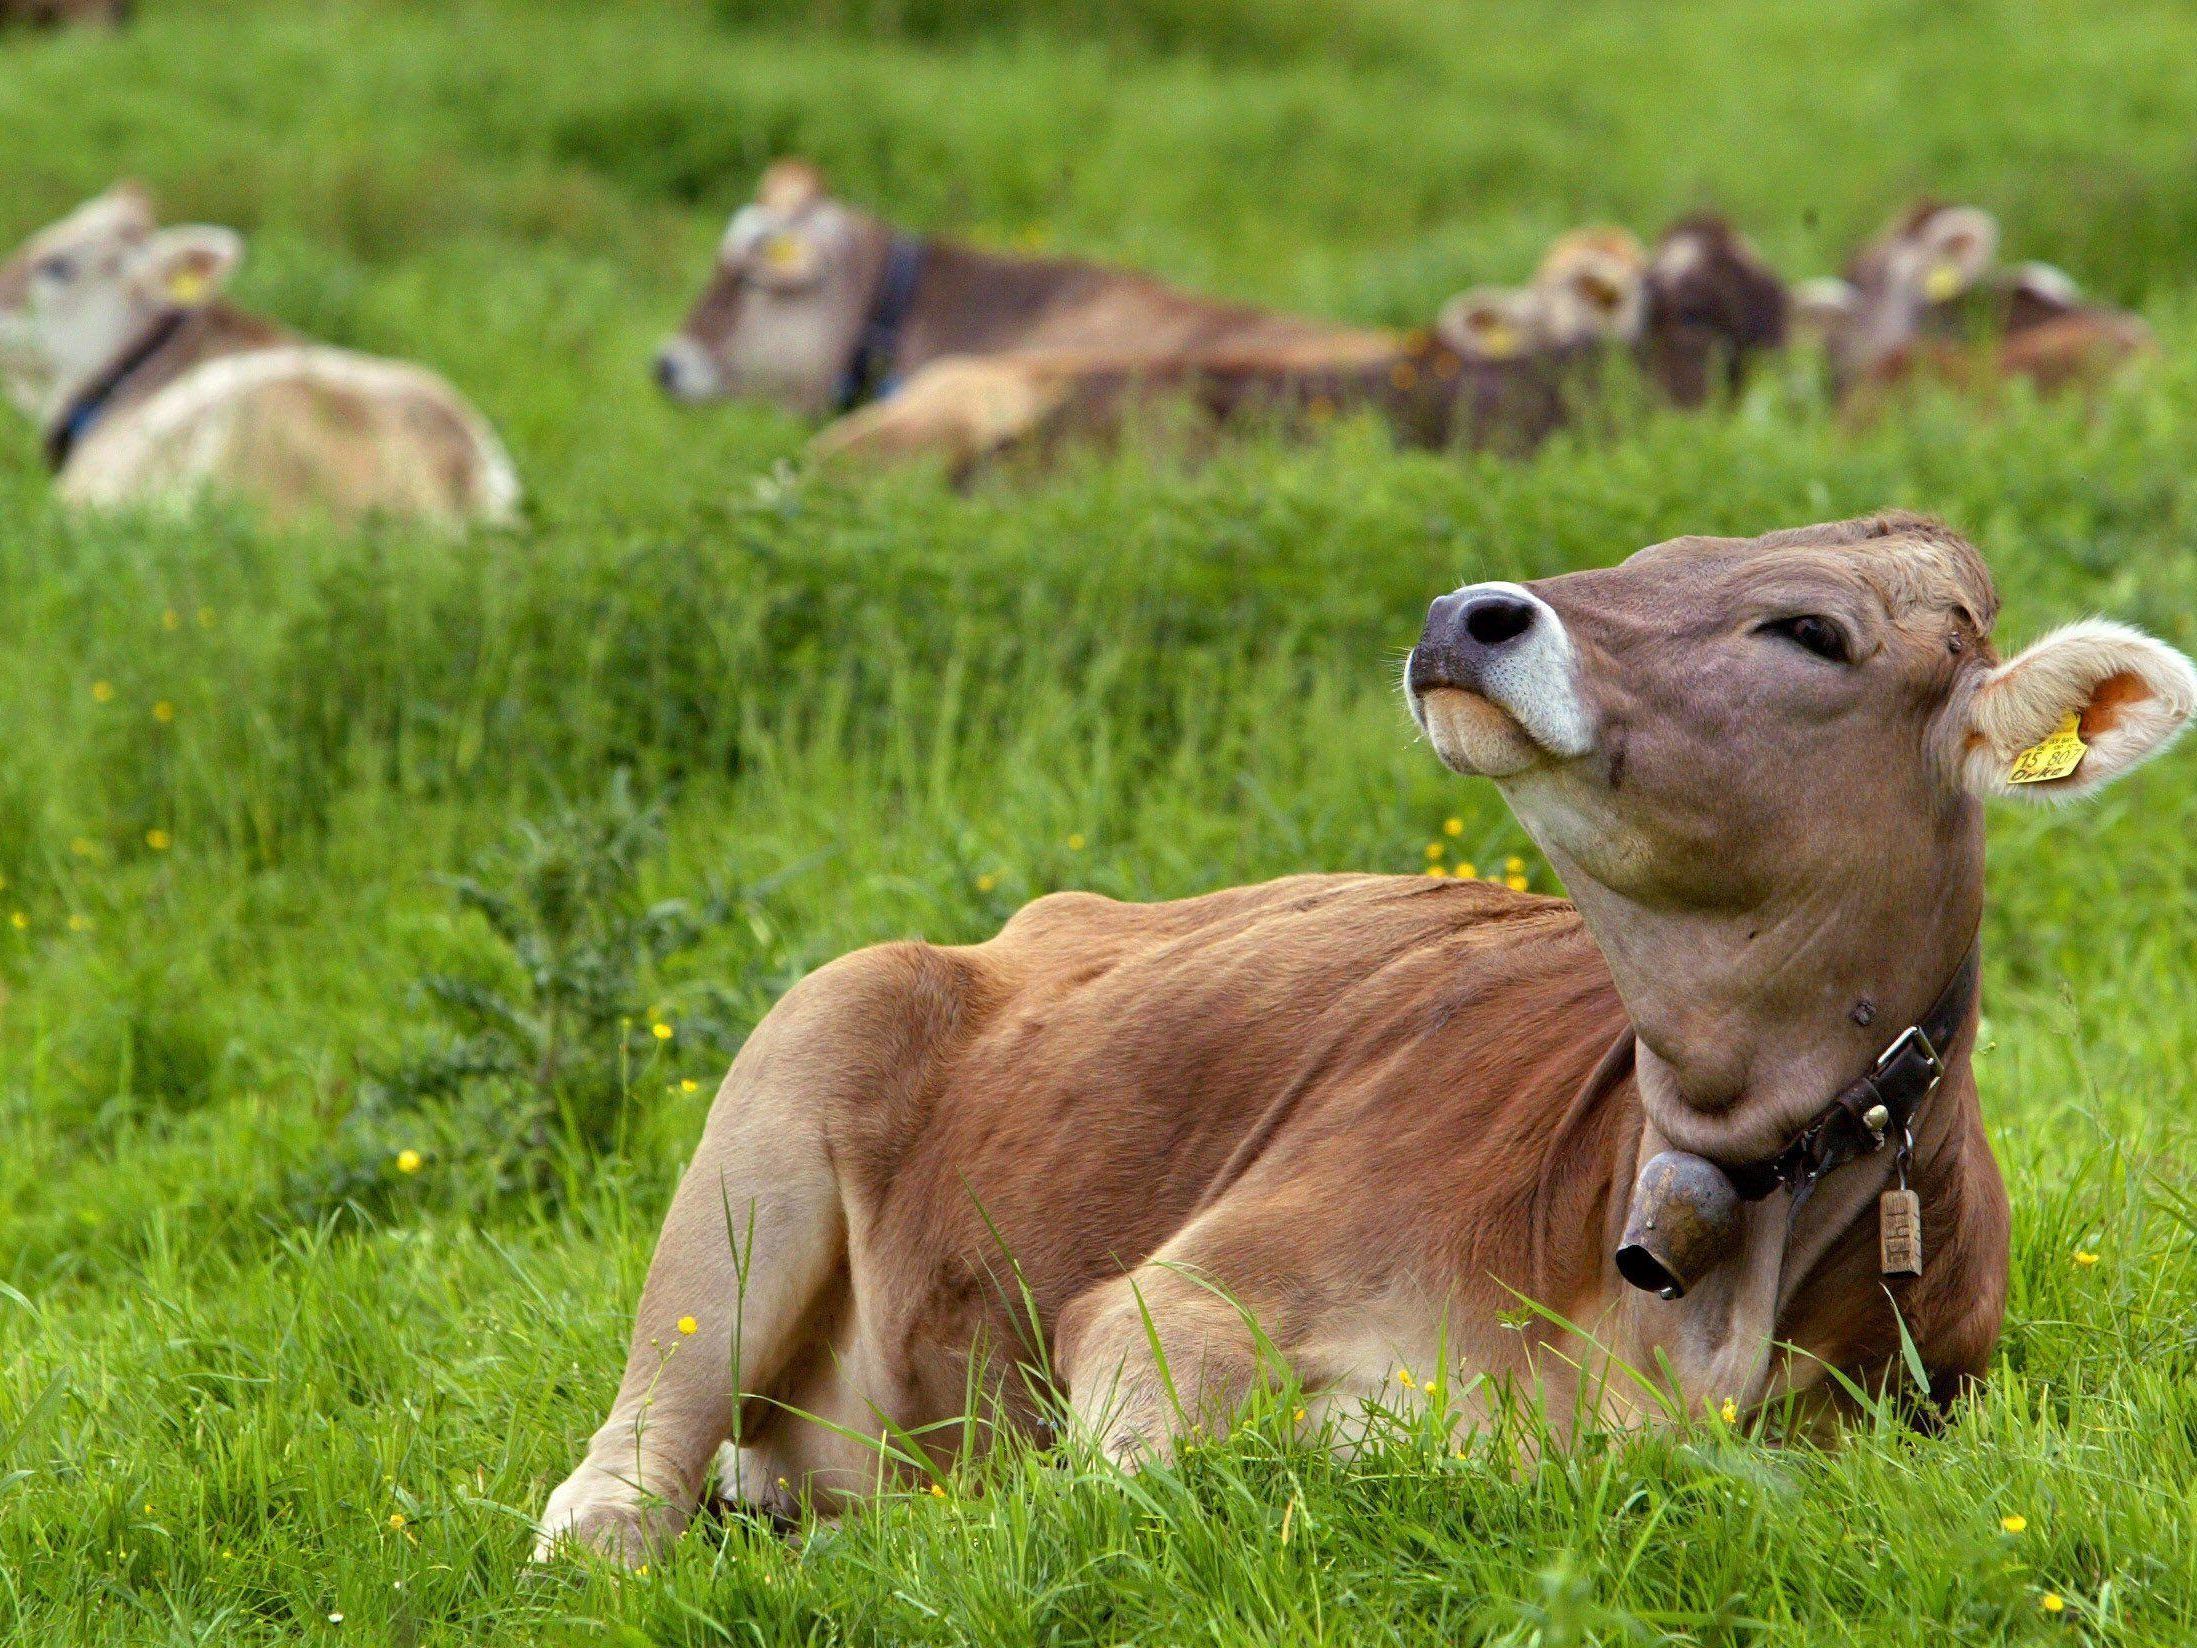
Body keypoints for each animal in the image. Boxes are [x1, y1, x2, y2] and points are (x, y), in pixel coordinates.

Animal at [536, 514, 2197, 1564]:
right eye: (1650, 561)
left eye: (1805, 628)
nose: (1467, 615)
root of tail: (1033, 923)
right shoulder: (1168, 1310)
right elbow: (1146, 1496)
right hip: (778, 1104)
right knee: (613, 1489)